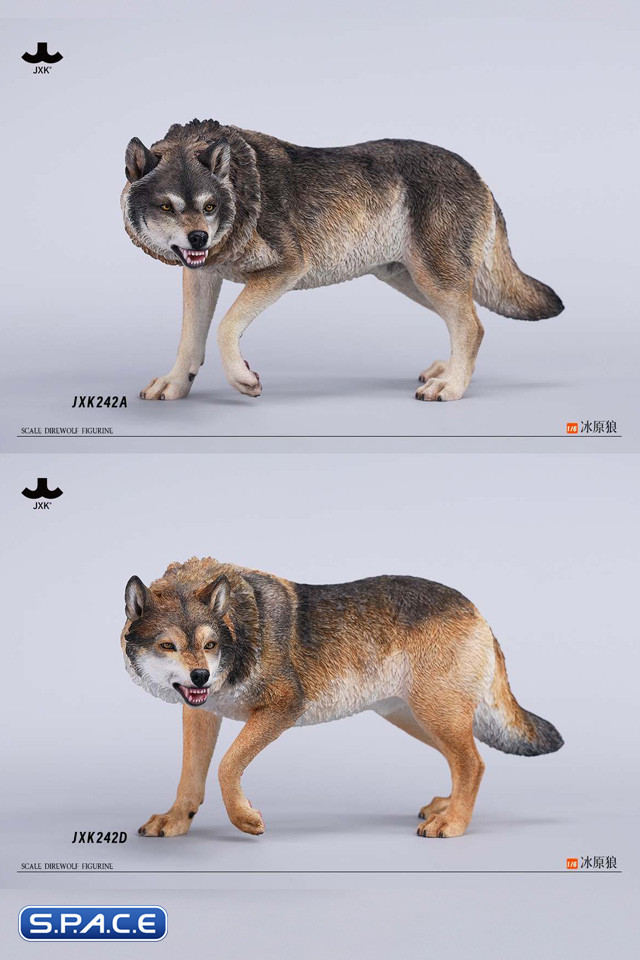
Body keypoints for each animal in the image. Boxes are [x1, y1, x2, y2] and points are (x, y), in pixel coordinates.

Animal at [121, 119, 563, 403]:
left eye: (209, 206)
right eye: (167, 206)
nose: (199, 237)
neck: (242, 192)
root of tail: (478, 174)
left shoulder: (286, 269)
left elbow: (226, 327)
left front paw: (243, 379)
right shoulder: (200, 274)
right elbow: (189, 339)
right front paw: (176, 385)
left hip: (433, 278)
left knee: (472, 326)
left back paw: (451, 386)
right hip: (415, 282)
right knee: (469, 322)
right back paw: (447, 370)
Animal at [121, 558, 563, 839]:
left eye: (209, 644)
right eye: (168, 646)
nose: (201, 676)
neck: (240, 633)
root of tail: (476, 609)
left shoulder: (283, 707)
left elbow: (227, 767)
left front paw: (245, 819)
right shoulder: (200, 712)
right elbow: (190, 778)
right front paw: (177, 821)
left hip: (435, 715)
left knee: (473, 763)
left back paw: (452, 824)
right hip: (418, 719)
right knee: (466, 762)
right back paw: (447, 808)